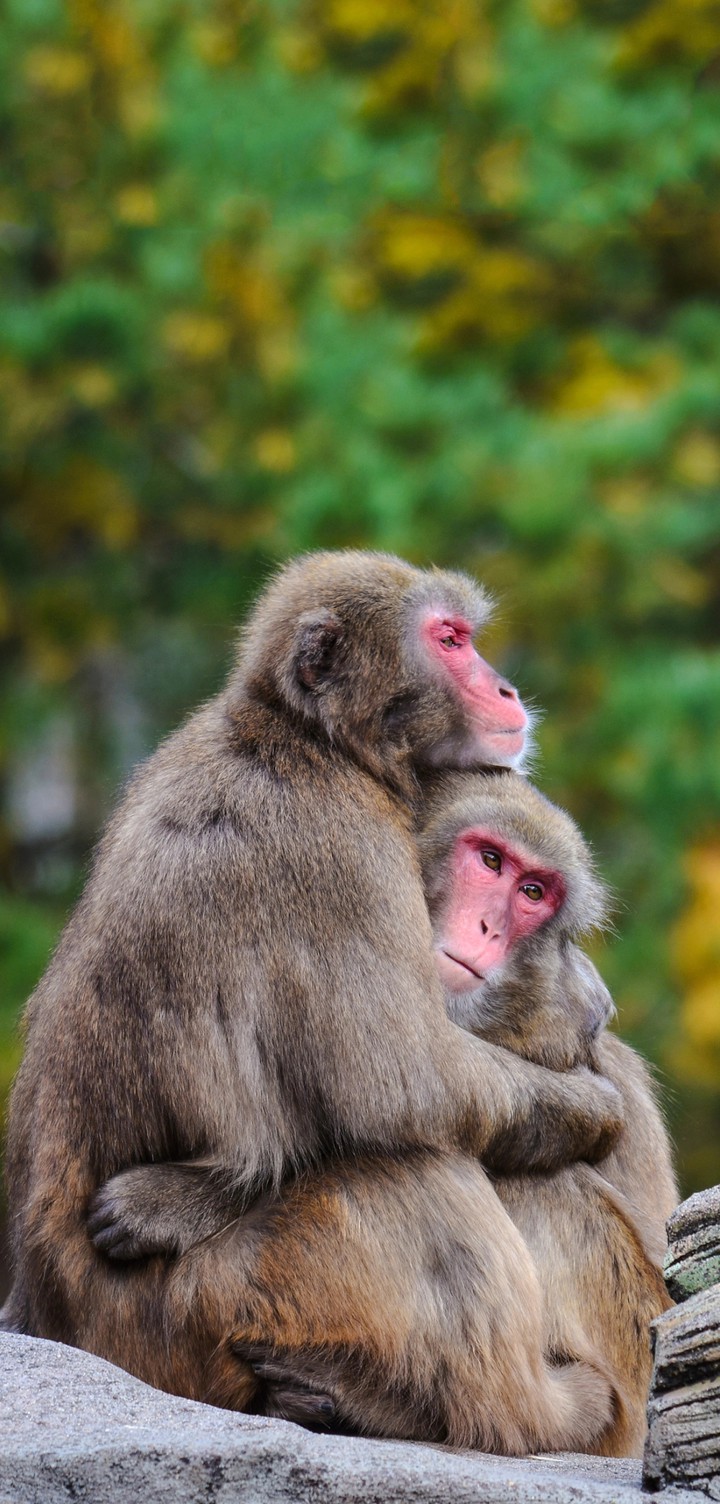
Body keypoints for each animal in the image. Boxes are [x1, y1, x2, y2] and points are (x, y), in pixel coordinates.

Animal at [1, 552, 623, 1442]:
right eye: (450, 639)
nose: (504, 688)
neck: (308, 740)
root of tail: (49, 1312)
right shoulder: (341, 845)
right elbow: (406, 1083)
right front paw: (595, 1103)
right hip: (191, 1320)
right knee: (407, 1172)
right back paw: (536, 1413)